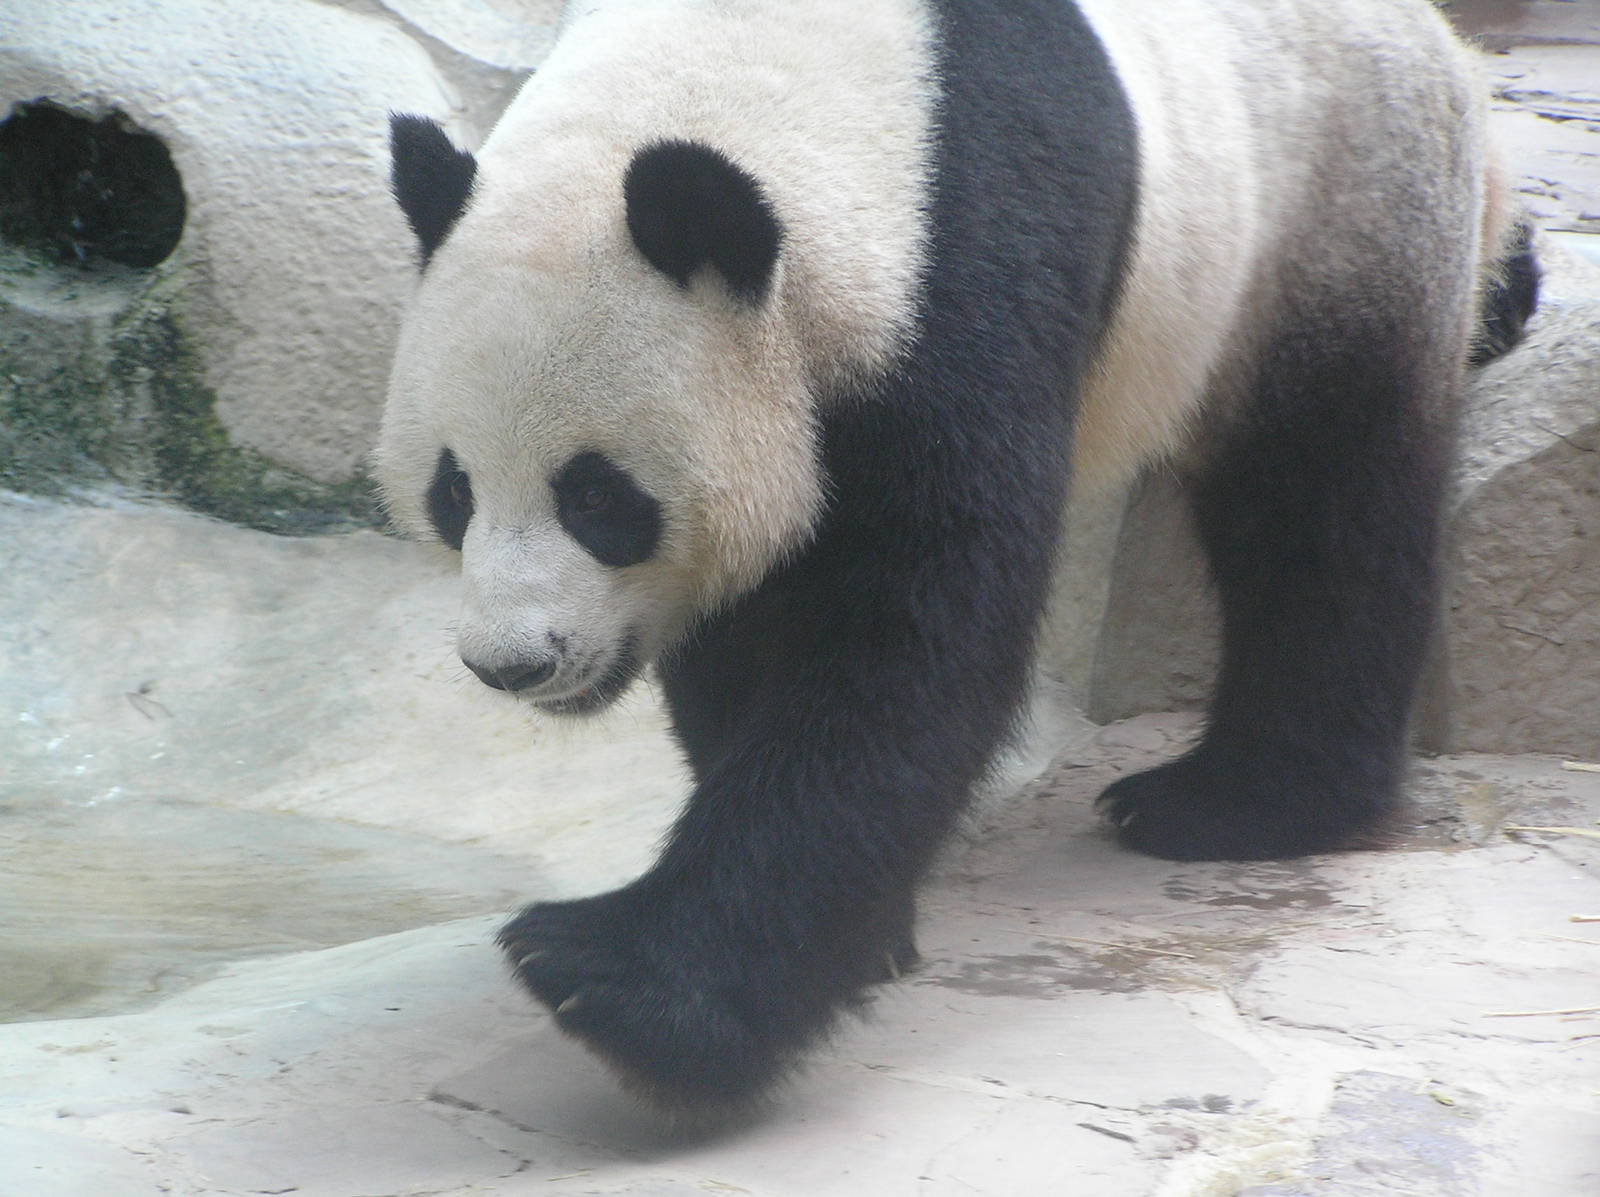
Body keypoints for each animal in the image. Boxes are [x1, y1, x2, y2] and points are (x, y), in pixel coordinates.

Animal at [375, 0, 1538, 1109]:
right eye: (454, 490)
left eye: (597, 497)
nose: (514, 664)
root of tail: (1452, 51)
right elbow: (747, 634)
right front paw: (864, 934)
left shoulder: (962, 263)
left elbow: (909, 636)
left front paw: (618, 986)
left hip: (1335, 207)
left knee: (1324, 497)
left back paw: (1235, 802)